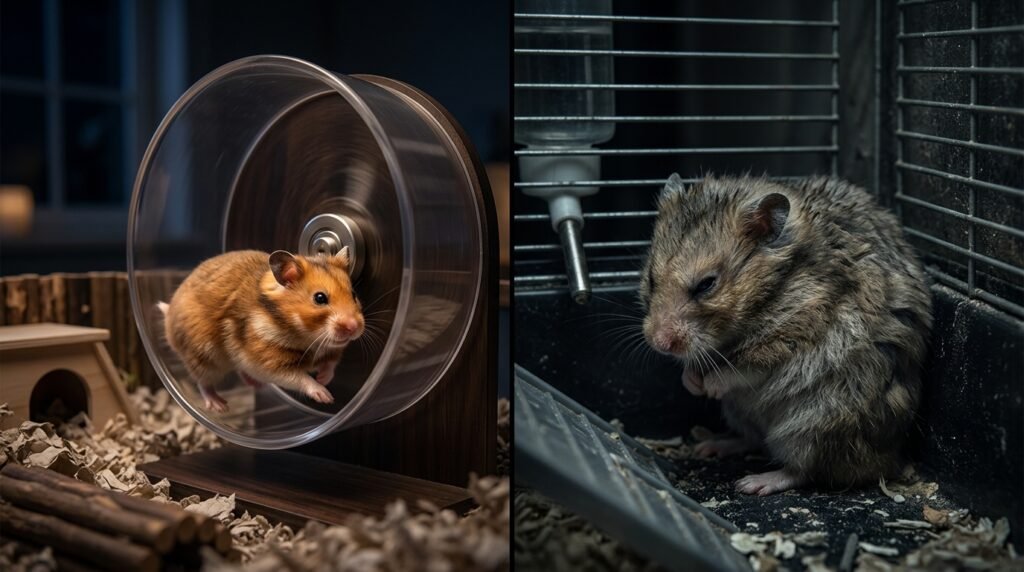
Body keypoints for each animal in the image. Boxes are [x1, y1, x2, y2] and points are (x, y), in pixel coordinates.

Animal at [159, 248, 365, 412]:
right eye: (320, 298)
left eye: (353, 294)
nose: (354, 327)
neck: (308, 337)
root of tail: (168, 317)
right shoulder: (267, 362)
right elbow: (300, 378)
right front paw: (325, 396)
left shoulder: (332, 351)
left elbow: (330, 365)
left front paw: (323, 379)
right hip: (204, 358)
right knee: (203, 383)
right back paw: (219, 406)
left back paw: (255, 385)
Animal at [640, 174, 932, 495]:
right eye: (651, 279)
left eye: (707, 284)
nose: (660, 343)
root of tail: (891, 459)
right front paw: (693, 383)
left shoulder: (794, 335)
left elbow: (743, 370)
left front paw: (710, 387)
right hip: (742, 414)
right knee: (753, 440)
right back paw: (710, 447)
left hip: (815, 424)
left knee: (805, 470)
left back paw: (753, 483)